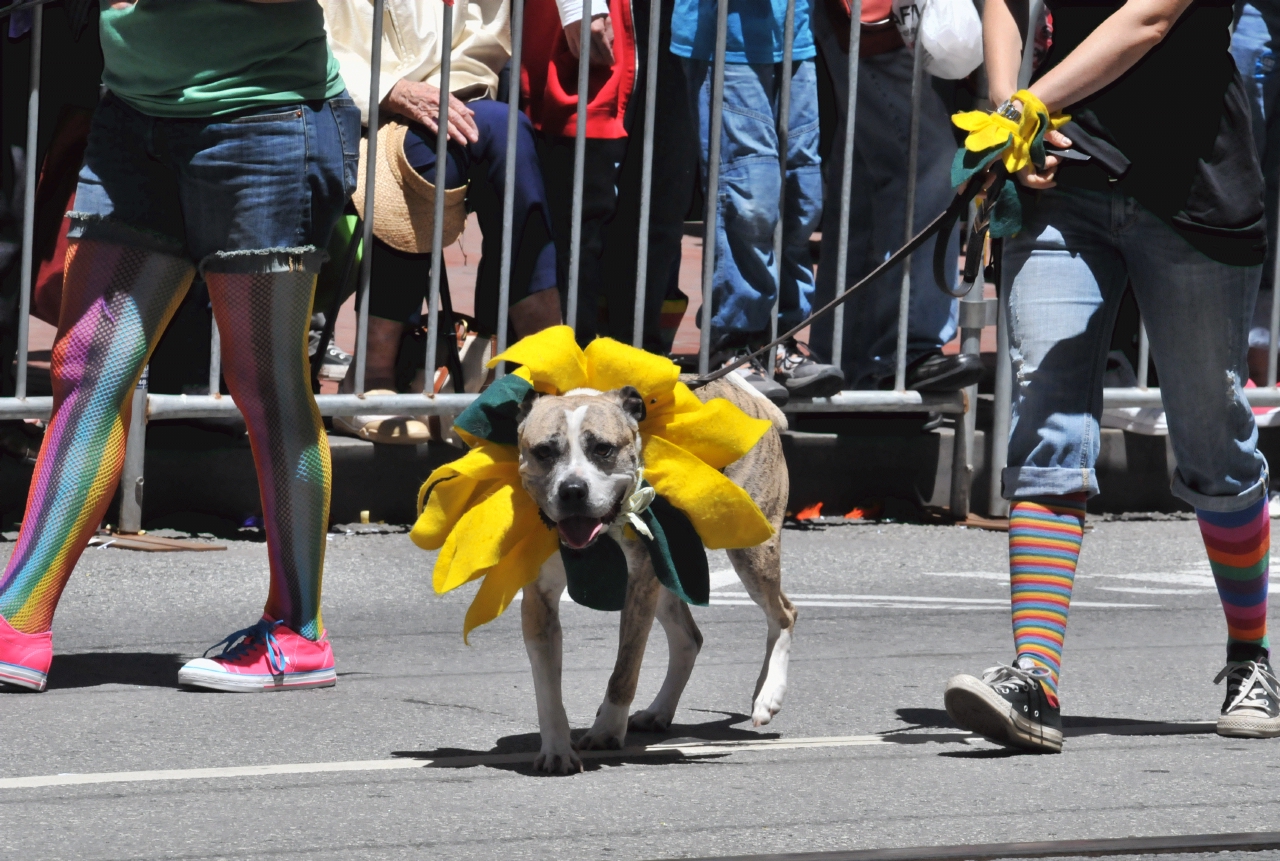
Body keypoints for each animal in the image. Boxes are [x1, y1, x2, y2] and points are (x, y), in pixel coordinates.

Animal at [514, 373, 793, 772]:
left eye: (602, 449)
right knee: (689, 639)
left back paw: (768, 695)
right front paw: (556, 749)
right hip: (668, 573)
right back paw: (658, 711)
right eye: (544, 452)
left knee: (783, 614)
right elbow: (547, 686)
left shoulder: (639, 585)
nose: (572, 490)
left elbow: (624, 670)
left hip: (751, 550)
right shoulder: (538, 601)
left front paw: (606, 730)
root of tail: (750, 400)